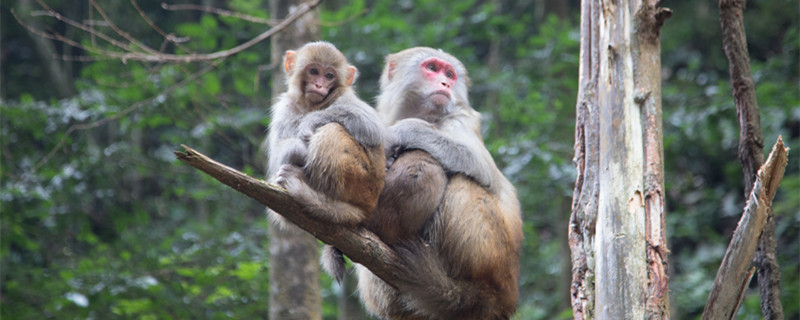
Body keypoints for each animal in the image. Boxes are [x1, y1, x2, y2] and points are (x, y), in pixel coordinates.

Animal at [264, 41, 386, 272]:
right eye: (314, 71)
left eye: (329, 75)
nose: (319, 85)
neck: (312, 105)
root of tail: (367, 208)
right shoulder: (286, 107)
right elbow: (279, 152)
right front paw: (296, 148)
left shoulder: (345, 97)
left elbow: (371, 125)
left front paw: (309, 122)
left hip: (362, 181)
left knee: (332, 130)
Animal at [354, 47, 520, 320]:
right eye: (432, 68)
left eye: (450, 74)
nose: (445, 83)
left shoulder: (461, 119)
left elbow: (482, 169)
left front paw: (405, 130)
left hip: (495, 259)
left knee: (462, 180)